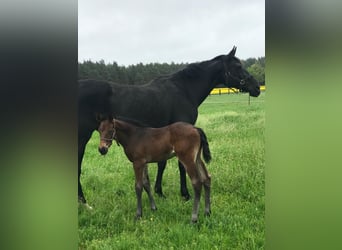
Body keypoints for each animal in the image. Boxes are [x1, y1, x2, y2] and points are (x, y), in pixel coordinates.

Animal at [77, 47, 260, 205]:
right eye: (238, 66)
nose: (257, 88)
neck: (184, 90)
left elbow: (162, 163)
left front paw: (159, 192)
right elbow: (180, 165)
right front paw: (185, 194)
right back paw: (84, 202)